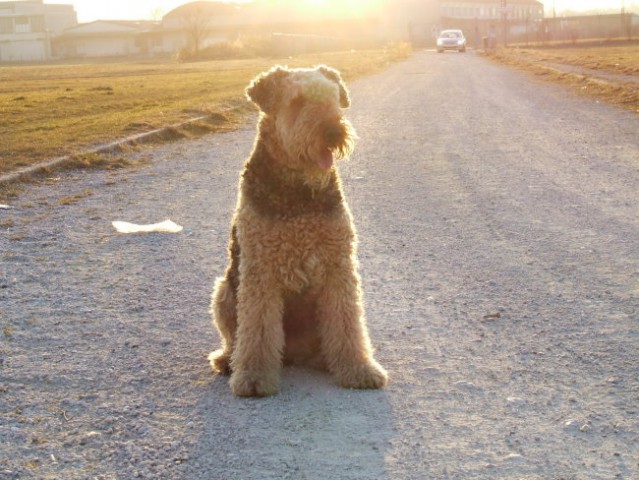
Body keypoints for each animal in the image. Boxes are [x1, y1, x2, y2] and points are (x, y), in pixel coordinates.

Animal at [211, 64, 390, 398]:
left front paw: (359, 369)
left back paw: (323, 359)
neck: (299, 191)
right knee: (234, 337)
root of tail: (293, 352)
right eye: (296, 102)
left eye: (333, 98)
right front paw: (254, 377)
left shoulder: (338, 265)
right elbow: (257, 330)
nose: (333, 132)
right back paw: (228, 360)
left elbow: (347, 323)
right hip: (224, 290)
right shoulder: (261, 271)